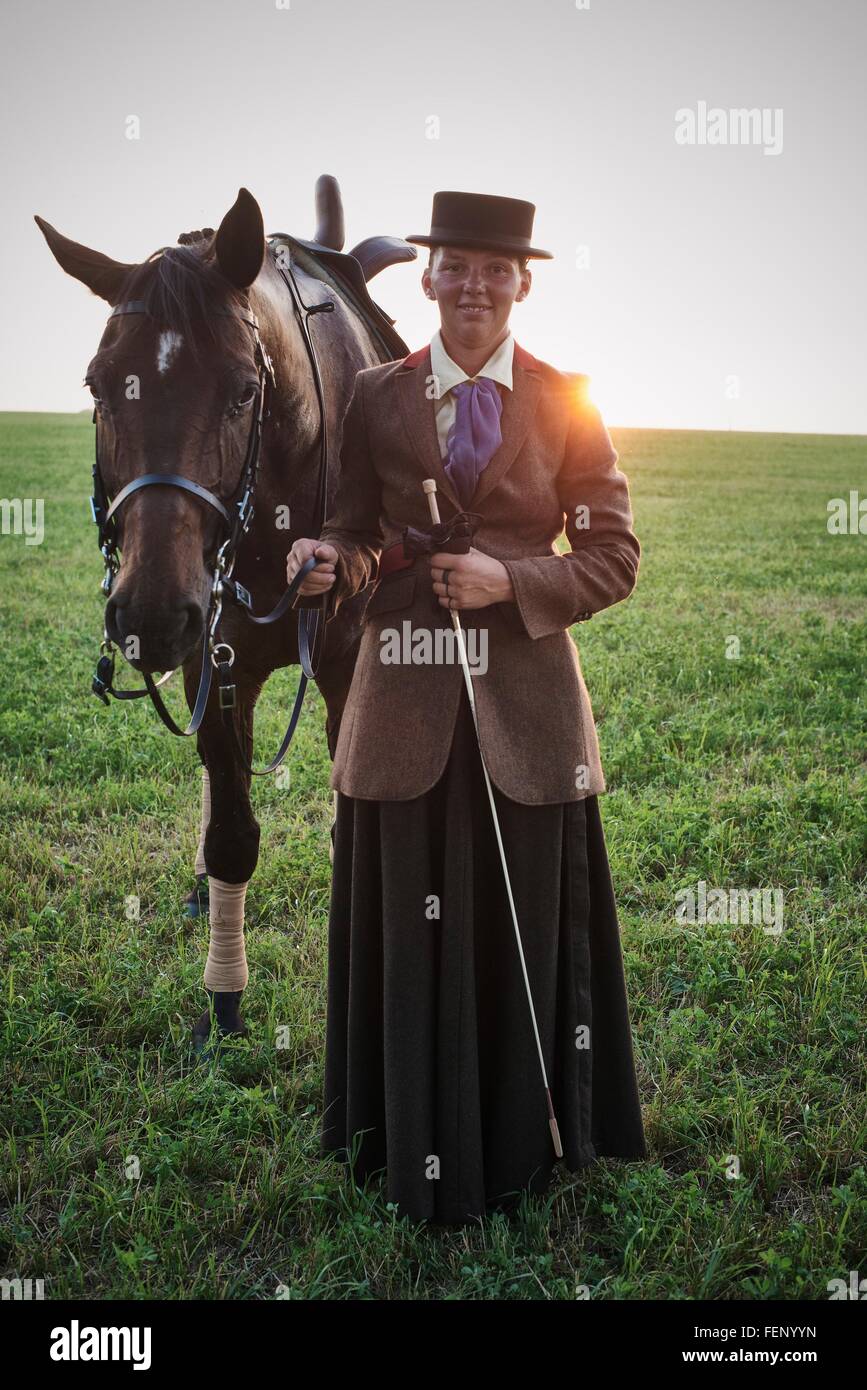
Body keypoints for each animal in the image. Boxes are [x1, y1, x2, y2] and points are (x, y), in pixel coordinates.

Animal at [38, 184, 419, 1045]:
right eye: (98, 388)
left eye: (245, 390)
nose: (148, 611)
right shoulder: (210, 659)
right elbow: (232, 832)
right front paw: (223, 999)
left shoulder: (344, 662)